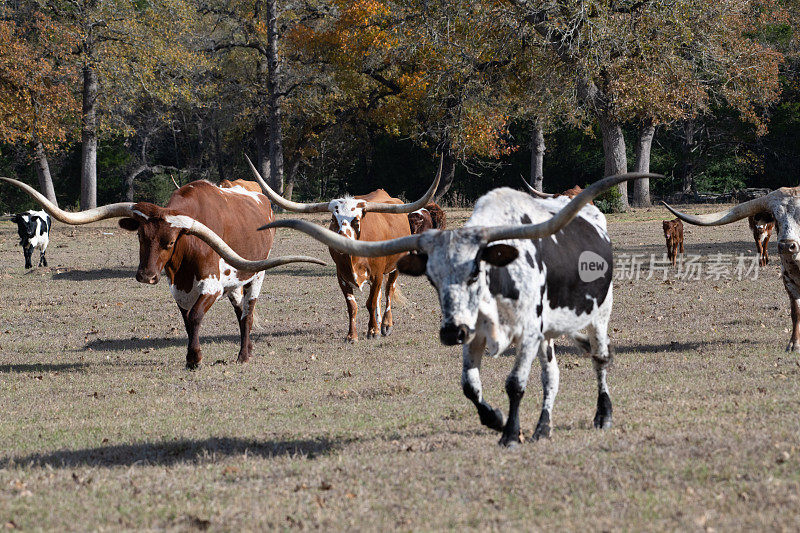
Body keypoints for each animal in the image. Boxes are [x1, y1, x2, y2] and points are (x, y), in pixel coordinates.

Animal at [2, 175, 324, 366]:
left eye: (170, 242)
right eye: (140, 238)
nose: (145, 276)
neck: (188, 252)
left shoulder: (212, 286)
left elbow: (195, 317)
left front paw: (195, 358)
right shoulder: (178, 289)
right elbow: (187, 321)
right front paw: (191, 357)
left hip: (256, 275)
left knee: (248, 312)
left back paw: (244, 354)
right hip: (234, 283)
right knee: (239, 311)